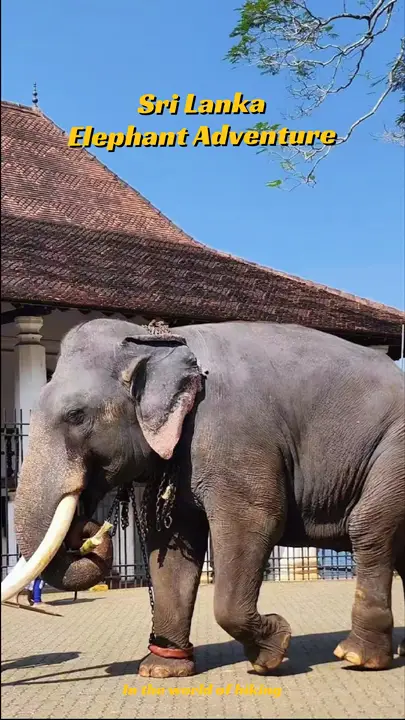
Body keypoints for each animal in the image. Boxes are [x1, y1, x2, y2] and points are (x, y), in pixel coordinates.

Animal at [2, 318, 404, 678]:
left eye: (76, 415)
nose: (90, 530)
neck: (160, 340)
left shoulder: (236, 435)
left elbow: (255, 521)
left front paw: (271, 653)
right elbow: (171, 544)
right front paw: (161, 670)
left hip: (392, 452)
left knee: (368, 528)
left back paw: (357, 657)